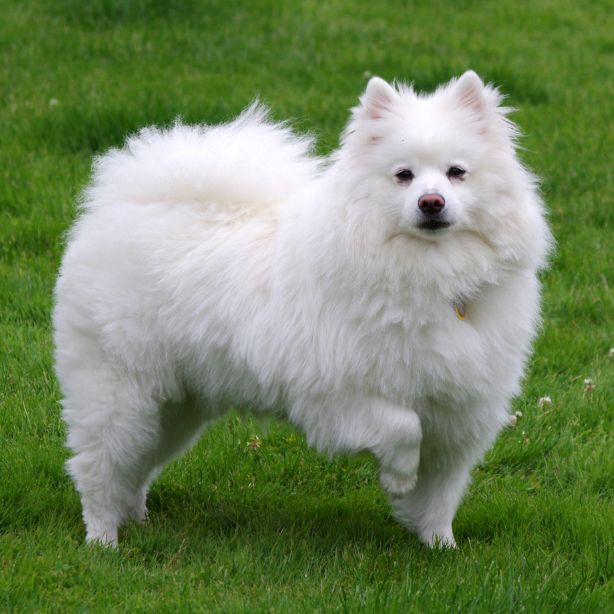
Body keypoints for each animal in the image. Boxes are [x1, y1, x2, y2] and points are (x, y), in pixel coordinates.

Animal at [53, 71, 552, 548]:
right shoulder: (338, 394)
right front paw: (397, 478)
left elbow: (440, 493)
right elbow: (403, 428)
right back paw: (104, 539)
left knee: (137, 468)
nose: (432, 202)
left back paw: (136, 517)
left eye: (456, 173)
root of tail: (119, 206)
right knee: (98, 468)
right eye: (404, 176)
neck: (431, 273)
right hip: (119, 393)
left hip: (175, 406)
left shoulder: (457, 413)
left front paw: (441, 546)